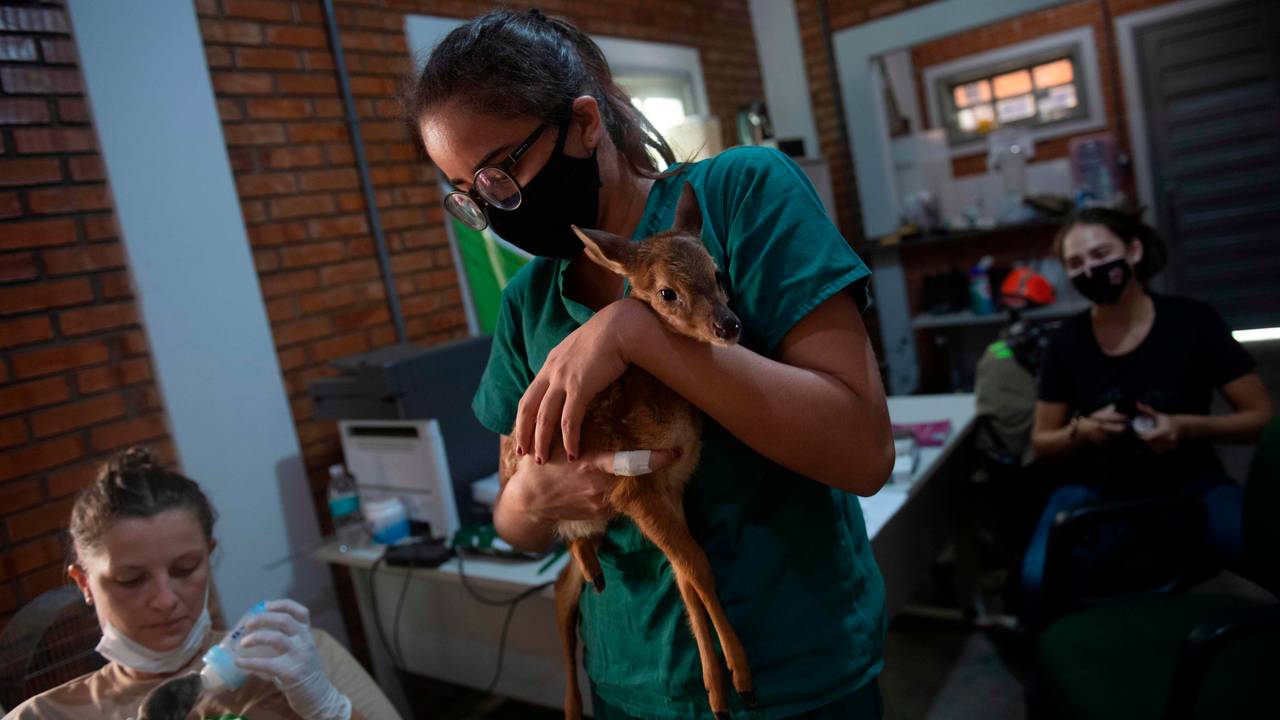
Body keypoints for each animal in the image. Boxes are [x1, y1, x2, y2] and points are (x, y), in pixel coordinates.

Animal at [540, 181, 747, 712]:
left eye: (717, 271)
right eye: (666, 293)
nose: (728, 325)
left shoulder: (673, 483)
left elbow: (686, 576)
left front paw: (717, 688)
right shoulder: (630, 486)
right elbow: (697, 565)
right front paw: (740, 675)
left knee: (565, 581)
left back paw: (594, 574)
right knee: (561, 593)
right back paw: (572, 706)